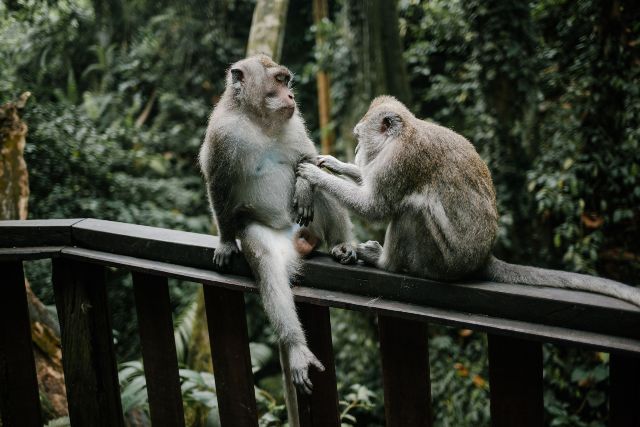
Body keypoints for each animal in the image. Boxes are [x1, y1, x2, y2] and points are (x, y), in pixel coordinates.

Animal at [198, 54, 357, 394]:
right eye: (279, 81)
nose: (292, 96)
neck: (259, 121)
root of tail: (298, 239)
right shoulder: (222, 134)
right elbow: (217, 184)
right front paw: (225, 241)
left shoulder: (294, 123)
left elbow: (308, 159)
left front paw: (303, 187)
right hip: (265, 234)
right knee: (268, 266)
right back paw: (296, 345)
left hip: (310, 226)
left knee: (324, 185)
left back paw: (341, 244)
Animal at [297, 95, 640, 307]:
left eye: (359, 138)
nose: (356, 151)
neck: (404, 133)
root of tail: (483, 256)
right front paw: (334, 163)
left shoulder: (400, 161)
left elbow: (376, 207)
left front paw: (315, 175)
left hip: (443, 261)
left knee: (411, 209)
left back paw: (385, 263)